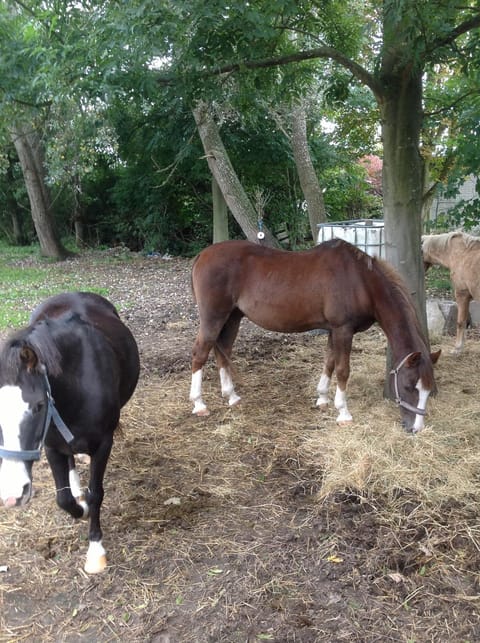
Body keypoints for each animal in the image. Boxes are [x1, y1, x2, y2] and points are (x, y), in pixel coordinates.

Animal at [0, 292, 141, 572]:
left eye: (38, 405)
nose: (12, 494)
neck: (78, 383)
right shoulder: (52, 446)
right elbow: (63, 499)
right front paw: (79, 506)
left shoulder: (103, 444)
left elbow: (96, 493)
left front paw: (95, 550)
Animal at [189, 238, 440, 432]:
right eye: (409, 386)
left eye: (428, 390)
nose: (416, 428)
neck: (360, 281)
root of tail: (202, 255)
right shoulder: (343, 329)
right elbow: (342, 369)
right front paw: (343, 413)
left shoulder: (333, 330)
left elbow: (329, 362)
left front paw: (322, 399)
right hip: (213, 318)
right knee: (200, 353)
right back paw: (199, 404)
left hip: (232, 318)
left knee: (223, 350)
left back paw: (231, 395)